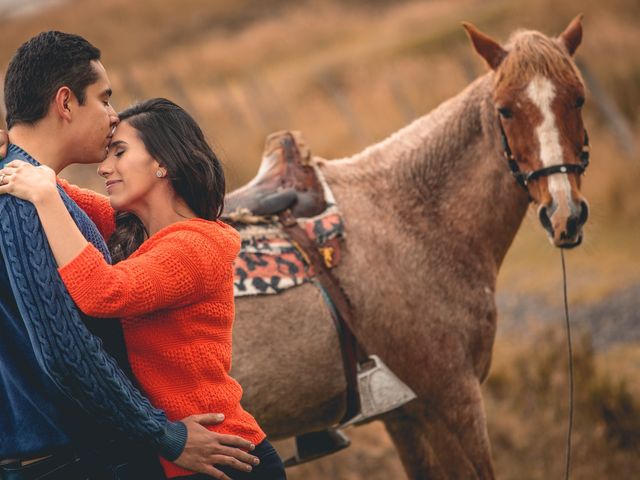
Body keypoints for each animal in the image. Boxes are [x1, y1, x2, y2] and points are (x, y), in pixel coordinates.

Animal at [229, 15, 592, 480]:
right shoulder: (452, 400)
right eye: (506, 109)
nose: (565, 213)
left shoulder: (405, 416)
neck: (409, 218)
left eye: (578, 99)